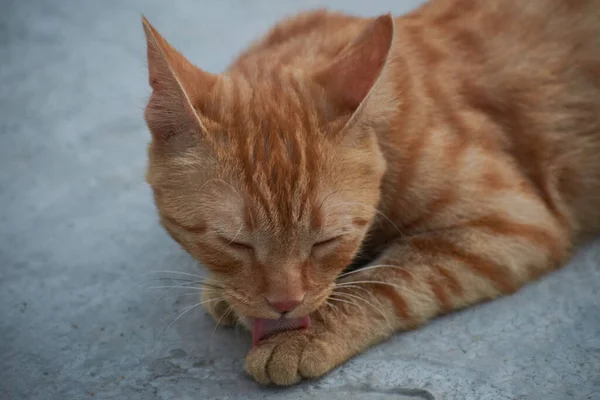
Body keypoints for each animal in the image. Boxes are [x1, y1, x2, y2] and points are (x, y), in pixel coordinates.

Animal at [142, 0, 600, 388]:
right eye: (234, 243)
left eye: (326, 241)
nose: (285, 304)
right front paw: (228, 294)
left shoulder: (512, 221)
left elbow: (388, 278)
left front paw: (305, 336)